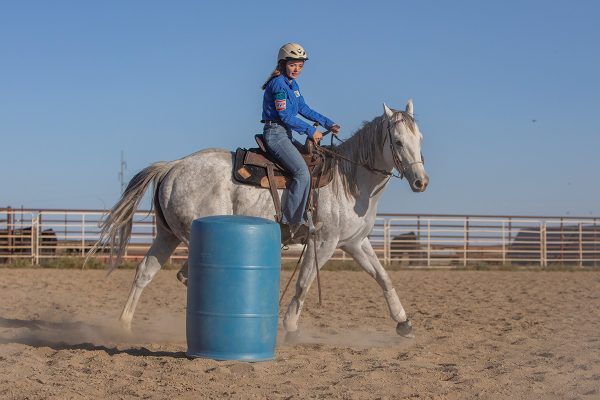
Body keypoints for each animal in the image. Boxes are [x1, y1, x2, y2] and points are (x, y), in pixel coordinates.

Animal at [91, 98, 428, 336]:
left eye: (421, 139)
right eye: (398, 142)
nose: (421, 182)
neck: (349, 180)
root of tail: (172, 167)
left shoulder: (355, 242)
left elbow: (382, 277)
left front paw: (403, 322)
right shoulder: (324, 242)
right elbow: (304, 283)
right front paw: (290, 327)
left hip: (167, 236)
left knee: (145, 273)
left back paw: (124, 326)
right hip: (193, 236)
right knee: (187, 275)